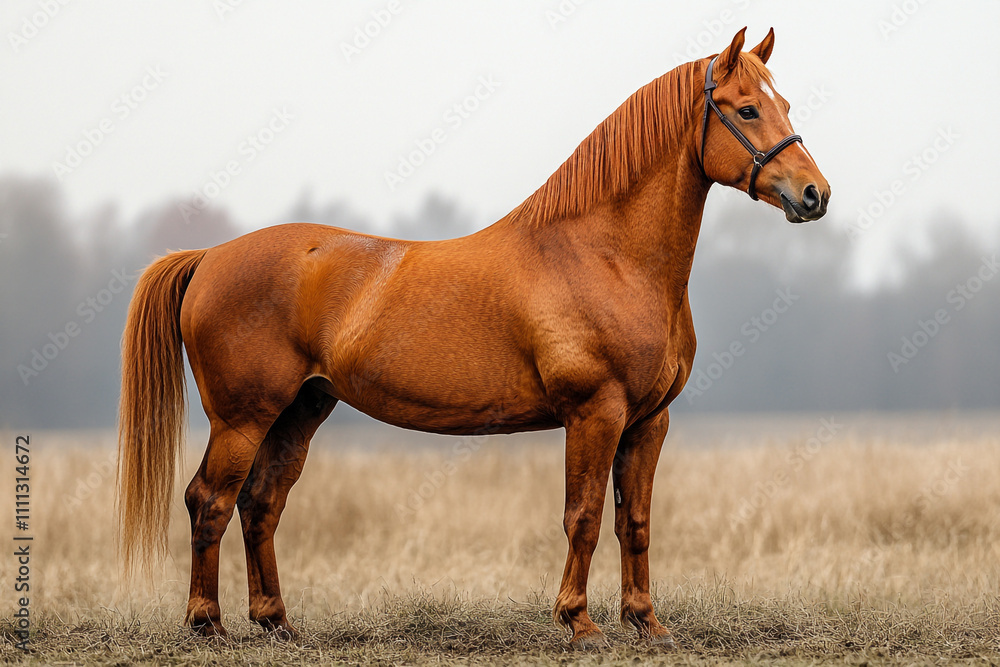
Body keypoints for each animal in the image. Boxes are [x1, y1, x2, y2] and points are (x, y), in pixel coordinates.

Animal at [117, 27, 829, 648]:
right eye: (746, 109)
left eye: (785, 104)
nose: (814, 194)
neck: (605, 254)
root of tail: (210, 257)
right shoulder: (594, 413)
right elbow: (584, 516)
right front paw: (579, 622)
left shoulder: (649, 420)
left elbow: (635, 520)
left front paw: (646, 622)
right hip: (242, 418)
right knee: (210, 500)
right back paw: (206, 623)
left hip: (301, 409)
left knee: (260, 502)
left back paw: (276, 622)